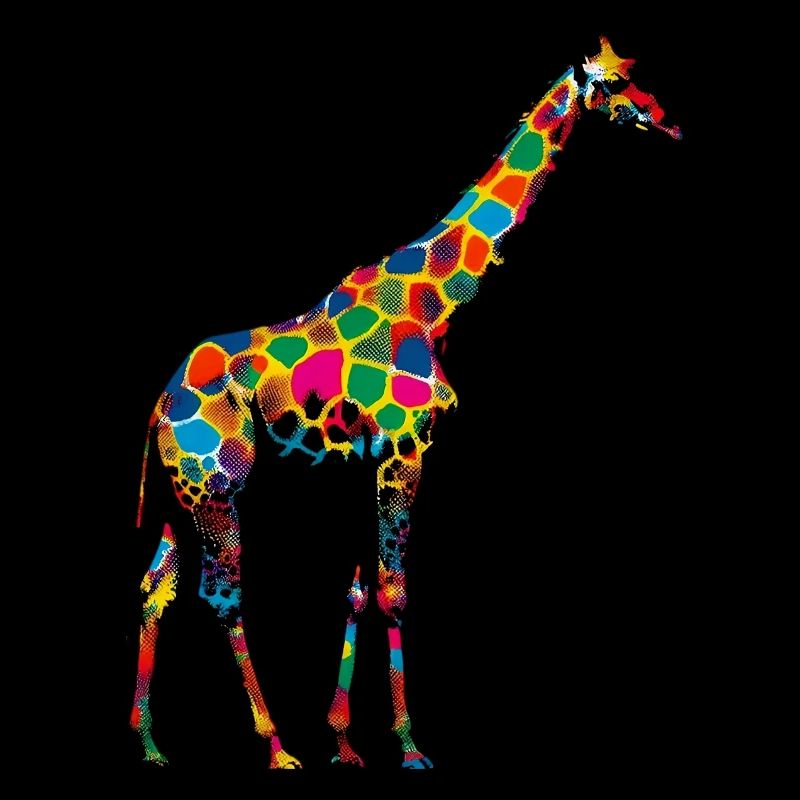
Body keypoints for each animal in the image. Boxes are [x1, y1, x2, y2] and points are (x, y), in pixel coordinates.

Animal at [130, 36, 681, 769]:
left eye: (638, 74)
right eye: (615, 85)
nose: (667, 121)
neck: (433, 300)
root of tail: (158, 407)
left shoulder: (361, 461)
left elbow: (357, 588)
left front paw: (345, 742)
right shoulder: (404, 450)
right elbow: (393, 594)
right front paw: (411, 745)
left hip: (177, 497)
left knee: (154, 590)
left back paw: (149, 742)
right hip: (217, 483)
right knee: (220, 597)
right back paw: (275, 744)